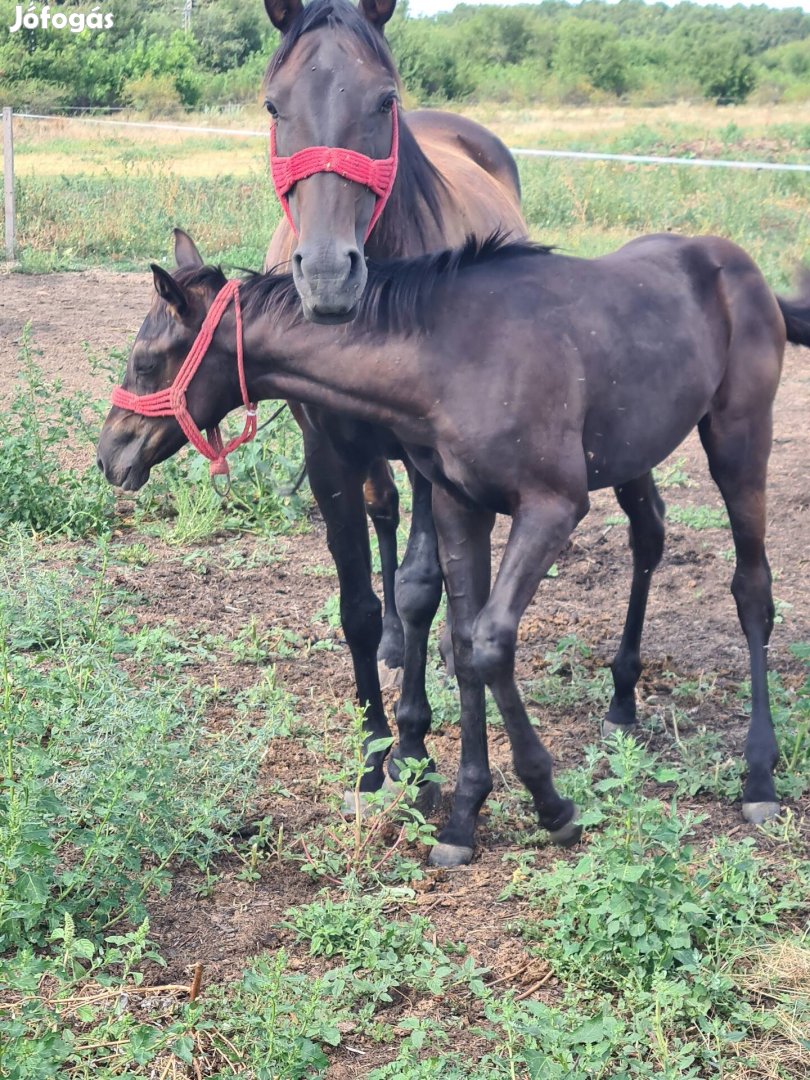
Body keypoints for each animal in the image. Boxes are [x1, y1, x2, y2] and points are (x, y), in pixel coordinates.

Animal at [96, 234, 810, 868]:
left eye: (146, 360)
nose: (109, 456)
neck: (452, 359)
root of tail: (743, 269)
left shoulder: (552, 507)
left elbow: (492, 642)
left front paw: (551, 803)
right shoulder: (457, 505)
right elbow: (464, 647)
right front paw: (464, 815)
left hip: (739, 439)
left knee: (752, 590)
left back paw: (759, 777)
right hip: (634, 451)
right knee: (650, 535)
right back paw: (622, 700)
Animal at [258, 0, 527, 799]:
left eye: (384, 101)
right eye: (274, 105)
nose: (326, 275)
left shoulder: (430, 457)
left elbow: (419, 585)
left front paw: (411, 743)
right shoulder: (326, 451)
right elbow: (358, 600)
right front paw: (373, 743)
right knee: (383, 518)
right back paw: (395, 648)